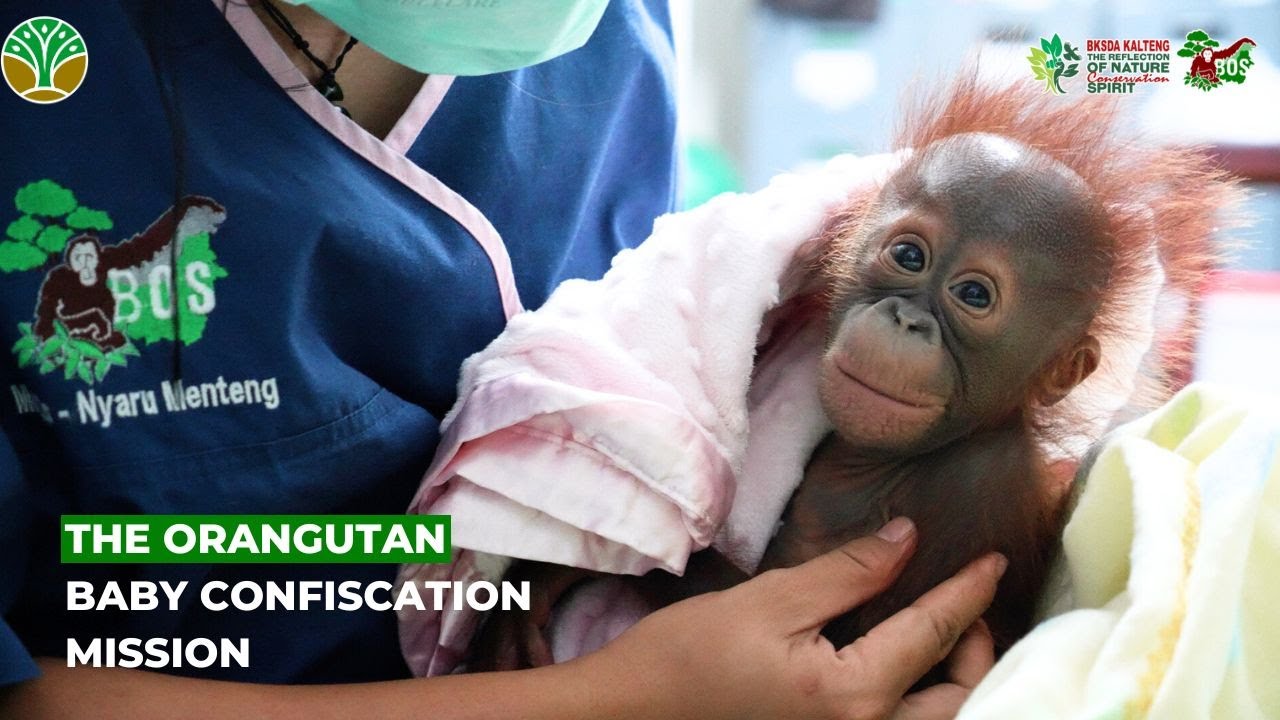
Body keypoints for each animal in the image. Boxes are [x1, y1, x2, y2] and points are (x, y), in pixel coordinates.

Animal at [467, 77, 1240, 674]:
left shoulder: (977, 485)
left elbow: (854, 645)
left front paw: (569, 573)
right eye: (908, 255)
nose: (905, 319)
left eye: (974, 295)